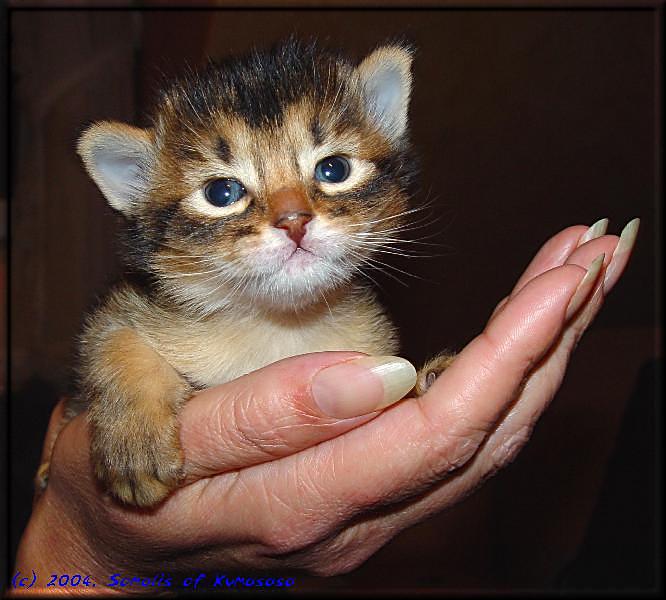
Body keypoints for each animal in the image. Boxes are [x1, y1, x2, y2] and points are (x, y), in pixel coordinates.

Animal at [37, 38, 452, 506]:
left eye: (334, 170)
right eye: (222, 192)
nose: (293, 221)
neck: (277, 325)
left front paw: (424, 380)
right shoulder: (126, 302)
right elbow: (111, 336)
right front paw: (134, 441)